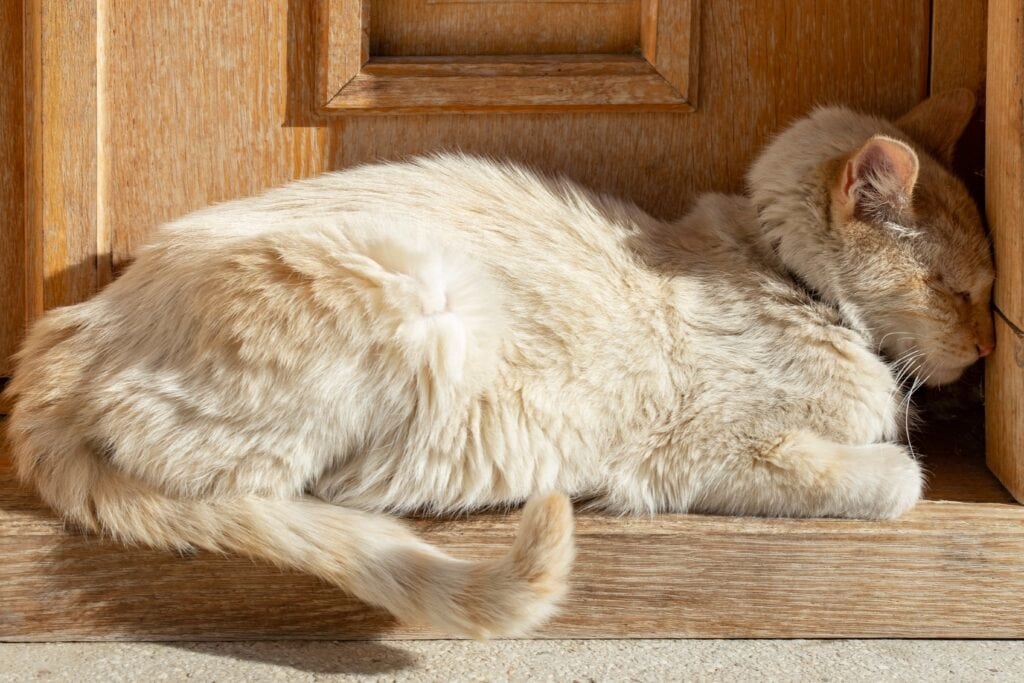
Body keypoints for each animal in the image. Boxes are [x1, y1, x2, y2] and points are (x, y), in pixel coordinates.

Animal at [2, 89, 991, 634]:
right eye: (955, 289)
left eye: (988, 288)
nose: (987, 348)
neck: (783, 277)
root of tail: (73, 325)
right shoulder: (706, 454)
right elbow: (899, 478)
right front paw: (895, 460)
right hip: (412, 299)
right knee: (253, 488)